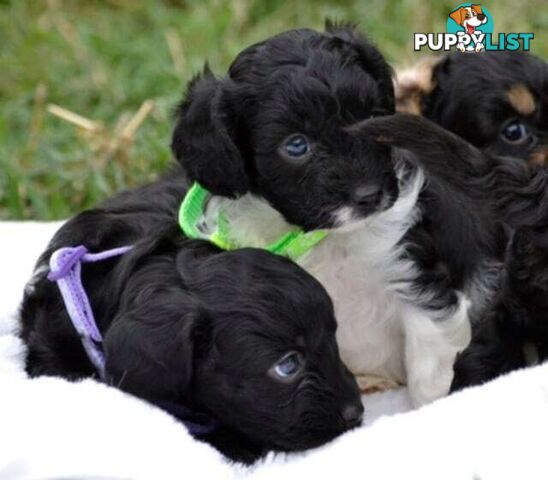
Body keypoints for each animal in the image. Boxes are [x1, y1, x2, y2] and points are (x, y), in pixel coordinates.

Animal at [172, 22, 500, 404]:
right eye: (296, 145)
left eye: (374, 118)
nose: (370, 196)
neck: (322, 238)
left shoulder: (414, 276)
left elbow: (429, 367)